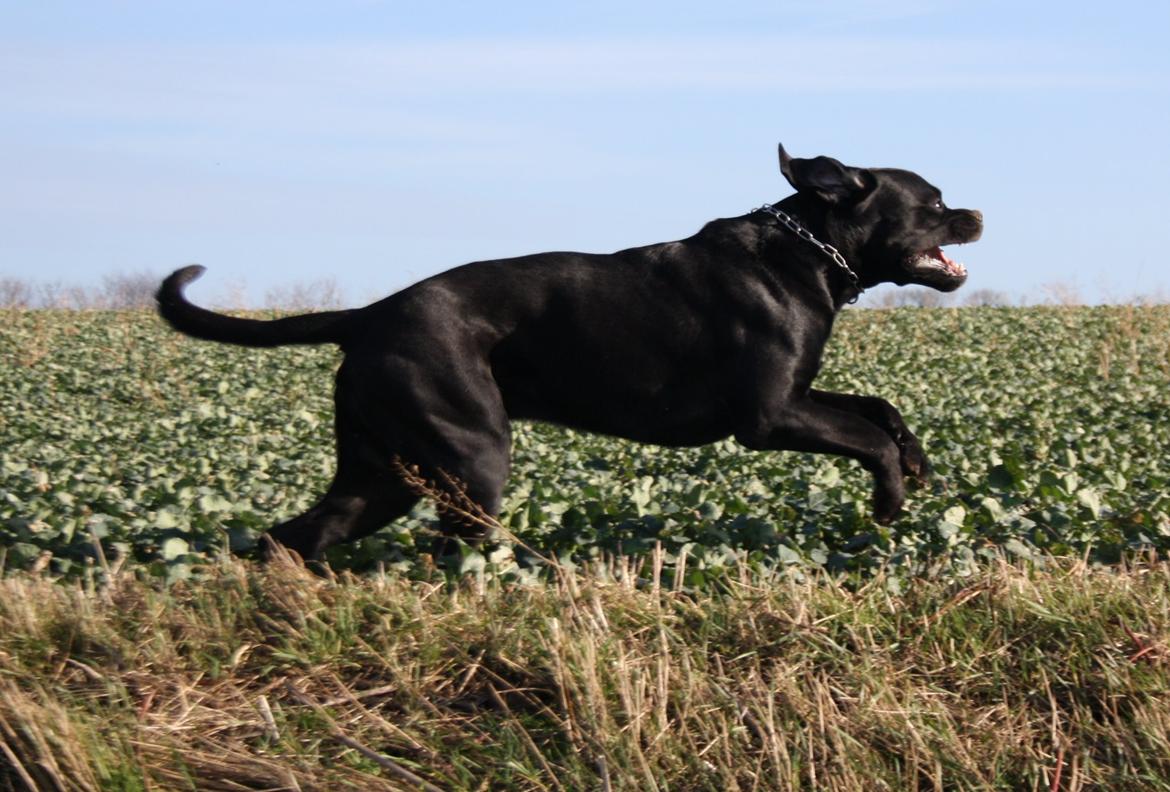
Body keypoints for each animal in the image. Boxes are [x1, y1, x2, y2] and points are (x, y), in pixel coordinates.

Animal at [155, 143, 978, 561]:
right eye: (933, 202)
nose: (976, 212)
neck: (806, 251)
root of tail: (369, 314)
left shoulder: (799, 396)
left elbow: (879, 406)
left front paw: (917, 462)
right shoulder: (771, 415)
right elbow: (866, 434)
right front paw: (889, 497)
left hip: (380, 473)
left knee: (297, 536)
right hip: (470, 458)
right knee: (455, 546)